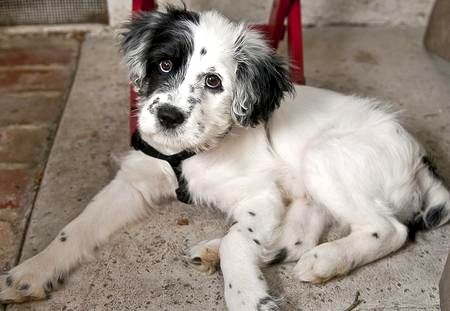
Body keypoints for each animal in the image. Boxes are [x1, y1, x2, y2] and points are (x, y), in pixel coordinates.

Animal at [0, 7, 450, 311]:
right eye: (165, 63)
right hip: (308, 195)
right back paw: (222, 252)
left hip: (325, 158)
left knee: (388, 230)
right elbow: (74, 228)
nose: (168, 117)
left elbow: (239, 238)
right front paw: (32, 272)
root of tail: (421, 160)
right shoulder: (135, 179)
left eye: (214, 82)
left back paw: (325, 260)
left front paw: (247, 296)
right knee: (295, 239)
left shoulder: (260, 195)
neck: (191, 153)